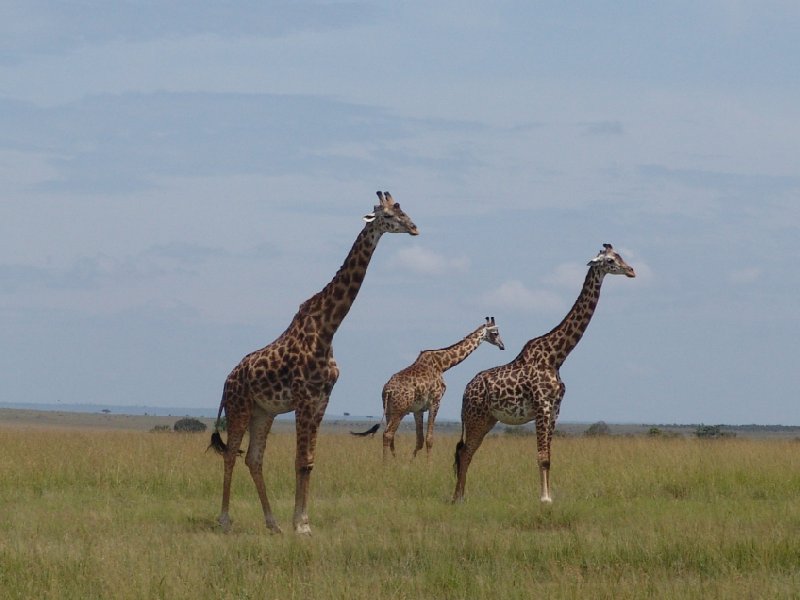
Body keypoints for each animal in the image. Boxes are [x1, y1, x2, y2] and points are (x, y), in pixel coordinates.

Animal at [209, 192, 422, 536]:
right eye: (388, 215)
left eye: (403, 209)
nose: (414, 227)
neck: (328, 327)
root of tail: (227, 380)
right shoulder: (305, 398)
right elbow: (300, 460)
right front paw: (301, 526)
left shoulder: (323, 398)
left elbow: (309, 461)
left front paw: (301, 523)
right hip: (239, 406)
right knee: (230, 454)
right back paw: (225, 520)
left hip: (263, 412)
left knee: (253, 459)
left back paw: (272, 524)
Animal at [382, 316, 506, 462]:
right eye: (495, 333)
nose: (502, 346)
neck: (442, 365)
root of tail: (387, 391)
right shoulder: (435, 401)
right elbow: (429, 439)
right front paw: (429, 465)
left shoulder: (418, 409)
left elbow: (420, 440)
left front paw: (410, 463)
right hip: (399, 410)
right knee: (388, 434)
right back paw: (385, 464)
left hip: (389, 410)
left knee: (389, 435)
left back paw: (392, 461)